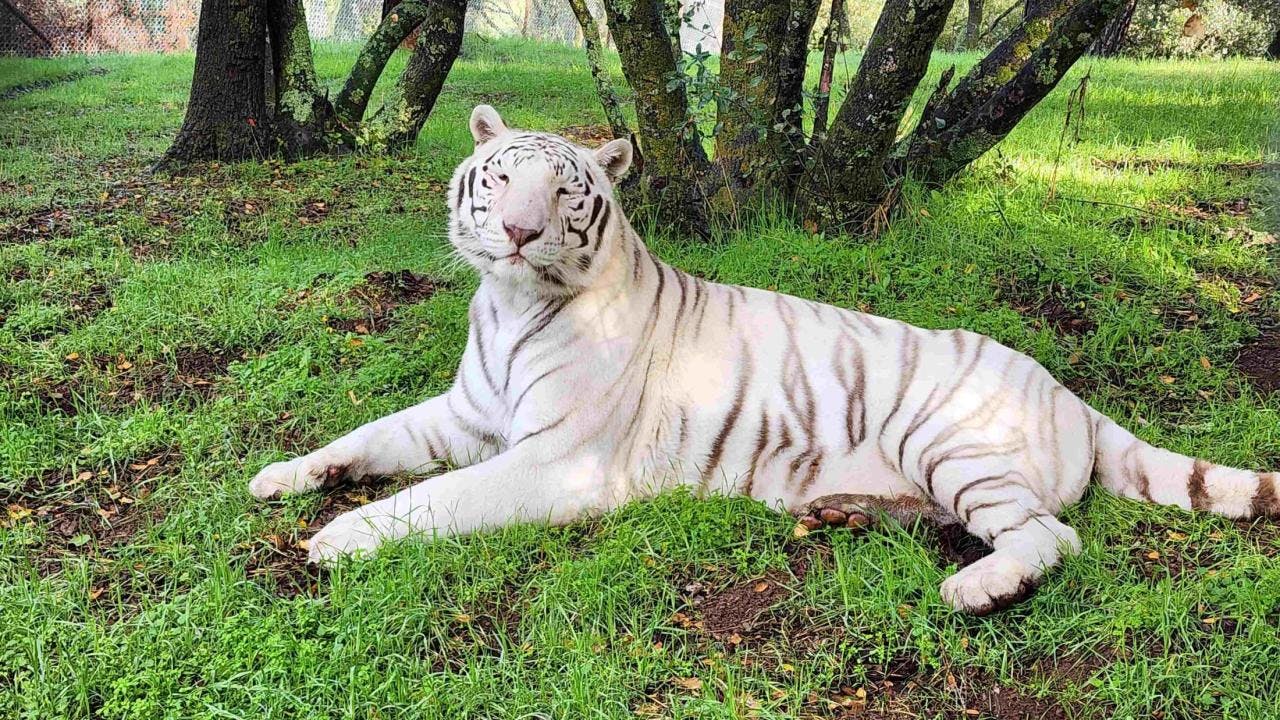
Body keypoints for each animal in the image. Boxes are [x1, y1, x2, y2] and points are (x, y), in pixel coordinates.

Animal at [249, 106, 1280, 609]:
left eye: (564, 191)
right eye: (499, 179)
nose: (516, 231)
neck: (507, 307)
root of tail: (1072, 395)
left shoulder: (553, 461)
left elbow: (431, 499)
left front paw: (337, 538)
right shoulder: (465, 415)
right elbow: (371, 436)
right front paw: (283, 477)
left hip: (952, 445)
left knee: (1048, 536)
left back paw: (975, 588)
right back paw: (846, 512)